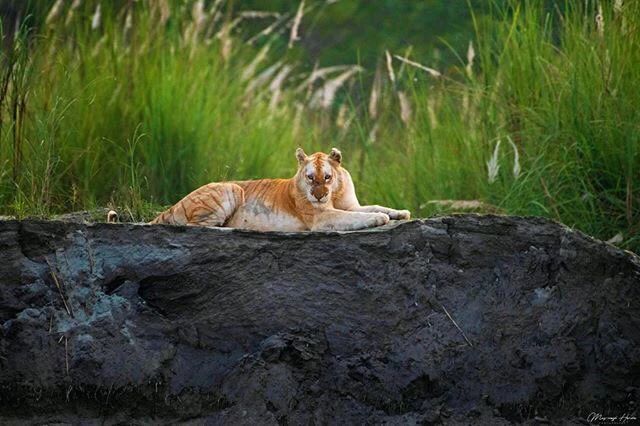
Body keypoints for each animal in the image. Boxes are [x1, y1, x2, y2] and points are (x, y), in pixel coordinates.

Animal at [149, 148, 410, 231]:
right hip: (230, 188)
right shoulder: (321, 217)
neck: (334, 194)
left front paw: (400, 213)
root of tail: (170, 208)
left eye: (327, 177)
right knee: (198, 226)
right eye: (310, 178)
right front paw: (380, 218)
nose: (319, 196)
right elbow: (356, 217)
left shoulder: (350, 204)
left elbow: (373, 206)